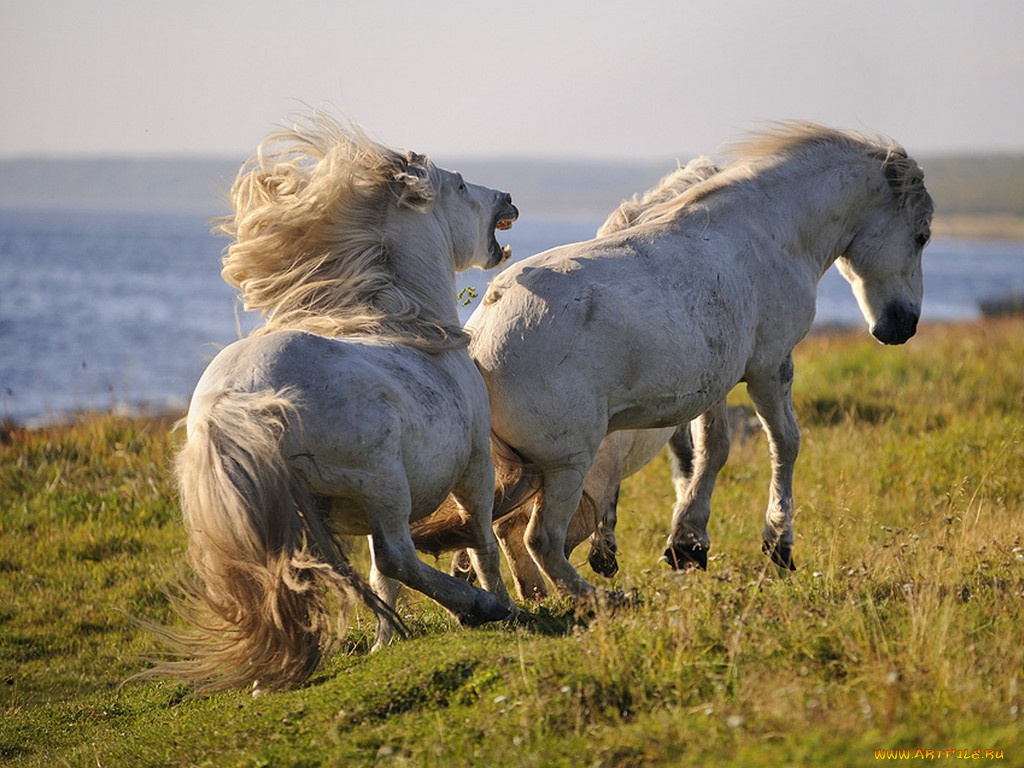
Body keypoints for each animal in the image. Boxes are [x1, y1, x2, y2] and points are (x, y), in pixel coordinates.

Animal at [150, 115, 519, 692]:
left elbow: (379, 578)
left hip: (304, 510)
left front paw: (384, 644)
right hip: (384, 482)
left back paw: (272, 674)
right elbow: (482, 542)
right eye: (460, 186)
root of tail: (233, 402)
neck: (417, 330)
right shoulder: (475, 467)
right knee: (400, 558)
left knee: (298, 575)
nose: (507, 199)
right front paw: (505, 605)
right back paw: (479, 607)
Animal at [466, 123, 933, 599]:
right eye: (922, 236)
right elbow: (785, 443)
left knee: (495, 535)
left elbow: (711, 450)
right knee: (539, 538)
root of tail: (482, 335)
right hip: (567, 465)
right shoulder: (769, 367)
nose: (902, 325)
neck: (770, 230)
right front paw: (777, 543)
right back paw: (596, 599)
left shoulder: (715, 382)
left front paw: (688, 542)